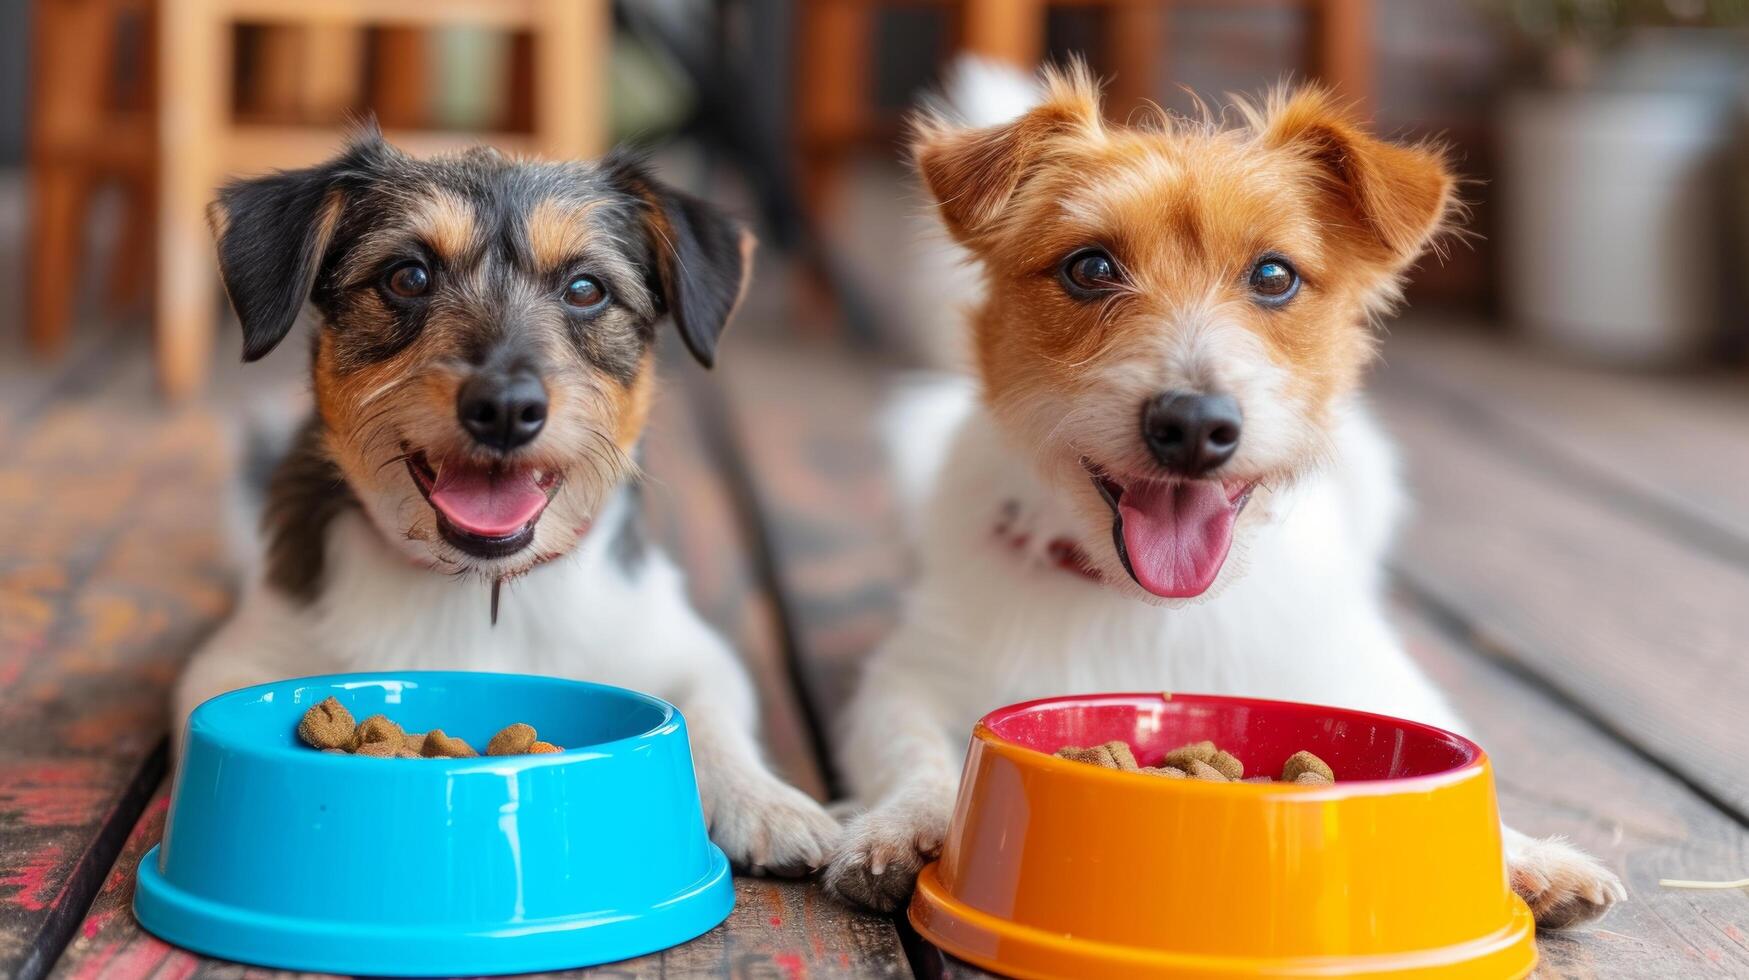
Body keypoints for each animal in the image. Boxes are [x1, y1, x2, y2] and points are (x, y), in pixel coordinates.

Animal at [175, 130, 839, 871]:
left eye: (585, 289)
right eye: (408, 277)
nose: (504, 409)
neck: (482, 590)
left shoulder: (687, 646)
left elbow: (711, 713)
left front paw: (767, 803)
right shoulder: (235, 660)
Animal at [822, 63, 1623, 924]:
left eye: (1273, 276)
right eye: (1089, 268)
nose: (1192, 425)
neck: (1154, 612)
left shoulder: (1376, 675)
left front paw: (1525, 852)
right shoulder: (907, 675)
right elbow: (910, 748)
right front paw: (905, 821)